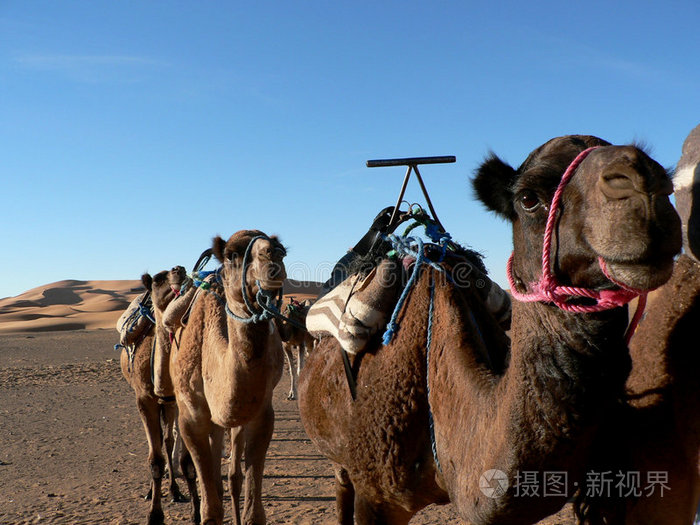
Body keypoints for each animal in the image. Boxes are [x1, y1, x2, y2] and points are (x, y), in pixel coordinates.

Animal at [119, 268, 187, 520]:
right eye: (158, 279)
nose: (179, 269)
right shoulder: (144, 400)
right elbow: (154, 457)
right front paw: (155, 511)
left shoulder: (172, 400)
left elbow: (167, 444)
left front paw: (175, 492)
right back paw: (151, 490)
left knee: (165, 441)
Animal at [170, 229, 288, 524]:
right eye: (232, 255)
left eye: (281, 247)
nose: (274, 254)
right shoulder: (191, 417)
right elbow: (210, 508)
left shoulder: (261, 413)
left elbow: (253, 510)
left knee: (232, 477)